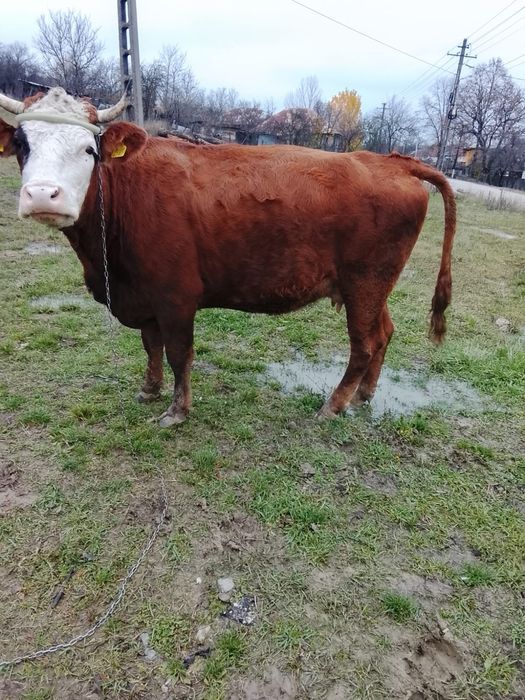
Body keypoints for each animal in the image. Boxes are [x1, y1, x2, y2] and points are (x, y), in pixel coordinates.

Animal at [0, 87, 456, 427]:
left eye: (88, 150)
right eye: (22, 144)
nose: (42, 195)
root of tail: (391, 162)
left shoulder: (176, 297)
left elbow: (178, 352)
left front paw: (177, 411)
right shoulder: (145, 296)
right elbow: (150, 346)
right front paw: (149, 389)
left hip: (365, 282)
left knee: (365, 343)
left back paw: (334, 404)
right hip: (372, 288)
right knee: (385, 332)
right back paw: (364, 395)